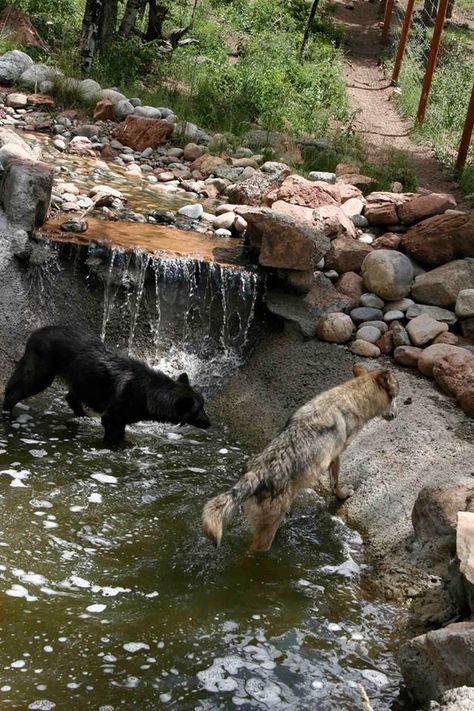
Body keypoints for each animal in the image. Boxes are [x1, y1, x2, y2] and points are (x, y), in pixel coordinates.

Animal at [1, 326, 209, 444]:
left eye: (203, 407)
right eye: (199, 410)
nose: (210, 423)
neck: (150, 391)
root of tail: (35, 333)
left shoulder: (120, 419)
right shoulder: (112, 418)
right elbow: (114, 437)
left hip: (83, 383)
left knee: (70, 397)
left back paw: (83, 417)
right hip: (40, 378)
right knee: (12, 392)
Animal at [202, 368, 398, 556]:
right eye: (395, 397)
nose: (397, 414)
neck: (351, 396)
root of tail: (255, 475)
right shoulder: (336, 455)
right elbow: (335, 482)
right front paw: (343, 494)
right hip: (264, 539)